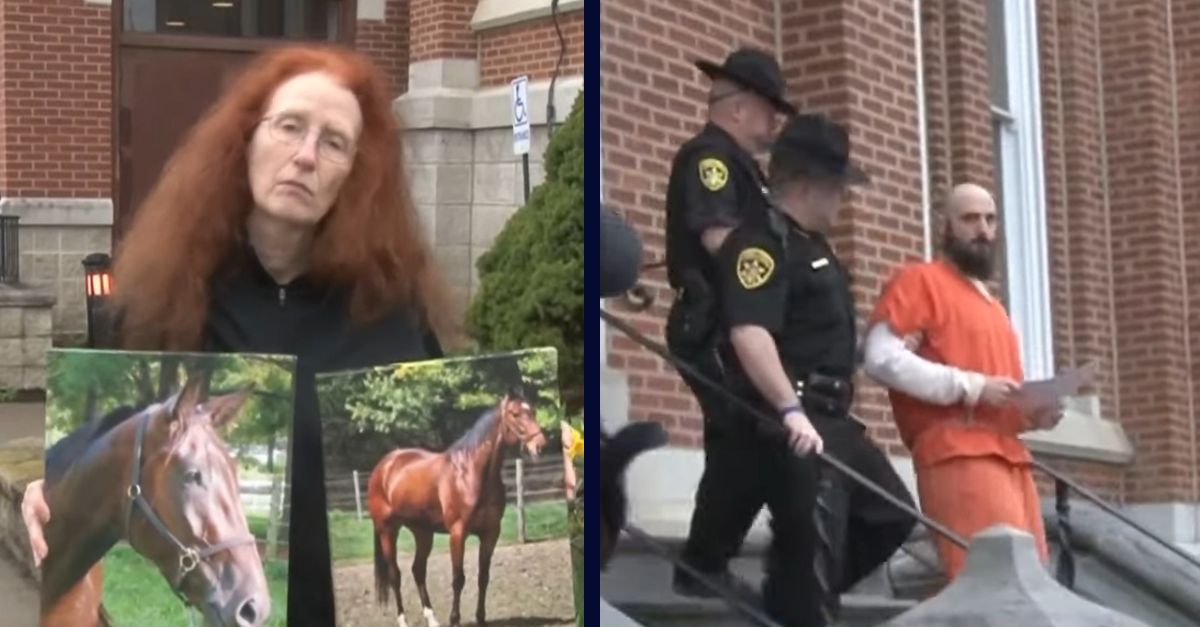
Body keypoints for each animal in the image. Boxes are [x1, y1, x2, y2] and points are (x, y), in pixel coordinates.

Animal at [367, 386, 549, 619]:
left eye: (533, 412)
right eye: (515, 414)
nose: (540, 446)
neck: (470, 473)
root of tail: (383, 466)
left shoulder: (490, 533)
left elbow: (483, 577)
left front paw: (480, 618)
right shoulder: (458, 533)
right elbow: (458, 579)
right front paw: (454, 619)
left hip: (422, 532)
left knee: (418, 570)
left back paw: (432, 618)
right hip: (387, 531)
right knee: (395, 576)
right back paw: (403, 619)